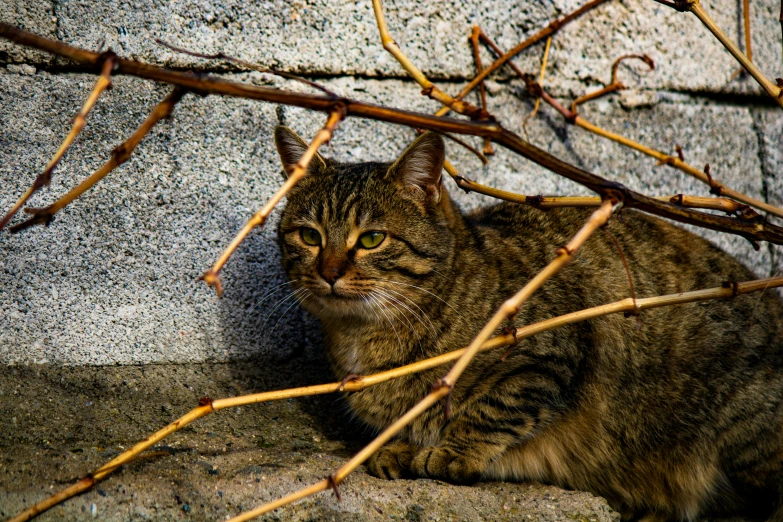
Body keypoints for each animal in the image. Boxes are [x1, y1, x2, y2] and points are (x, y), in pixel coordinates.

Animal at [274, 127, 783, 520]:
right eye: (309, 236)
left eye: (372, 239)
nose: (329, 271)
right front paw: (400, 445)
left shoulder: (549, 353)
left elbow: (492, 408)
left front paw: (451, 450)